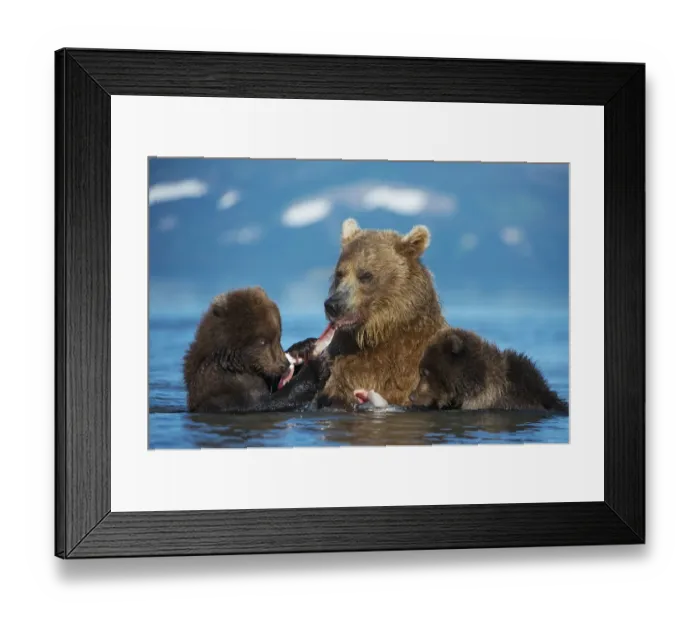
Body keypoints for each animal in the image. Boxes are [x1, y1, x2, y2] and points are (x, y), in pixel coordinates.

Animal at [183, 287, 321, 413]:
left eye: (278, 337)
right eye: (262, 341)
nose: (283, 364)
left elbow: (273, 384)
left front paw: (304, 346)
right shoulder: (226, 384)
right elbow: (263, 404)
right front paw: (315, 366)